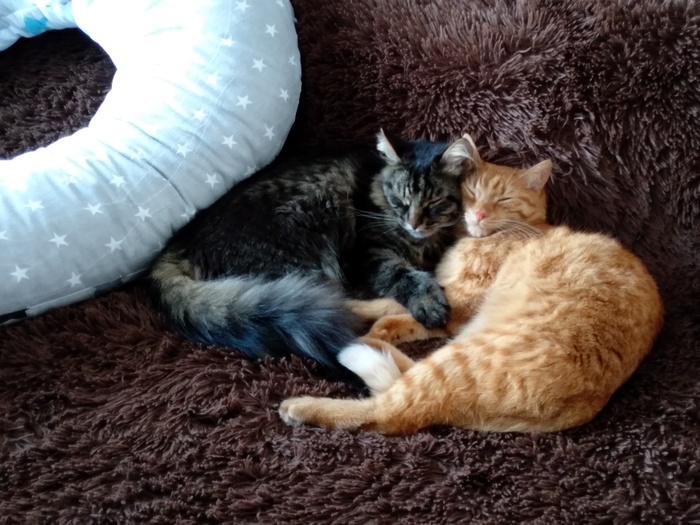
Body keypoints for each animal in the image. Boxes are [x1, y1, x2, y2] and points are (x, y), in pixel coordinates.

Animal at [149, 130, 475, 385]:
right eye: (401, 201)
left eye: (434, 203)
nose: (414, 223)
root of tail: (181, 244)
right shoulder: (367, 256)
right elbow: (401, 274)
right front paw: (428, 301)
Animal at [279, 134, 664, 433]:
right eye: (473, 191)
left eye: (504, 199)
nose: (478, 214)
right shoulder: (446, 293)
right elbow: (398, 301)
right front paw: (356, 307)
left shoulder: (462, 301)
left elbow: (400, 311)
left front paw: (379, 322)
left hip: (459, 359)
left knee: (390, 413)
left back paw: (309, 398)